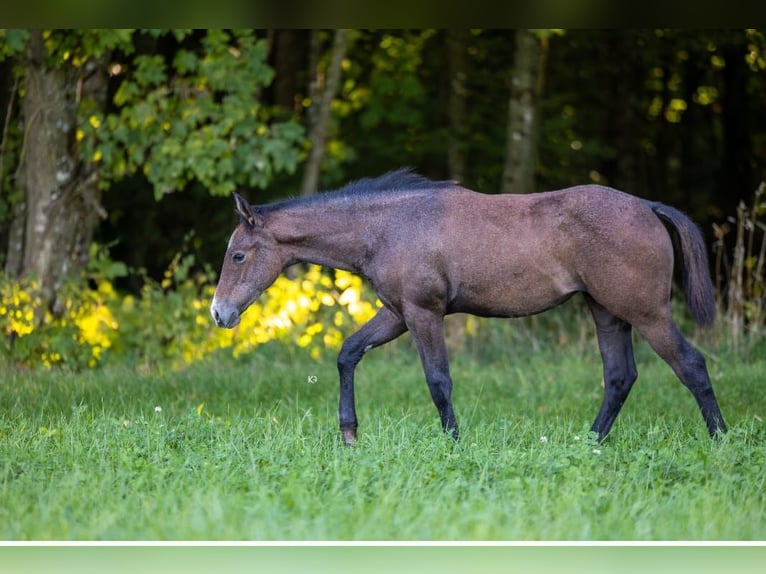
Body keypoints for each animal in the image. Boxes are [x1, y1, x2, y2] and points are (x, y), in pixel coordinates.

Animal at [210, 168, 727, 445]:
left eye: (238, 255)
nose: (219, 313)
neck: (388, 226)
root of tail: (647, 206)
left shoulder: (424, 313)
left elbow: (438, 380)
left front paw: (454, 443)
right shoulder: (397, 314)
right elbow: (348, 352)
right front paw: (350, 433)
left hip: (647, 313)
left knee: (691, 365)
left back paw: (720, 440)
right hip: (607, 312)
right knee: (619, 378)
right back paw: (589, 443)